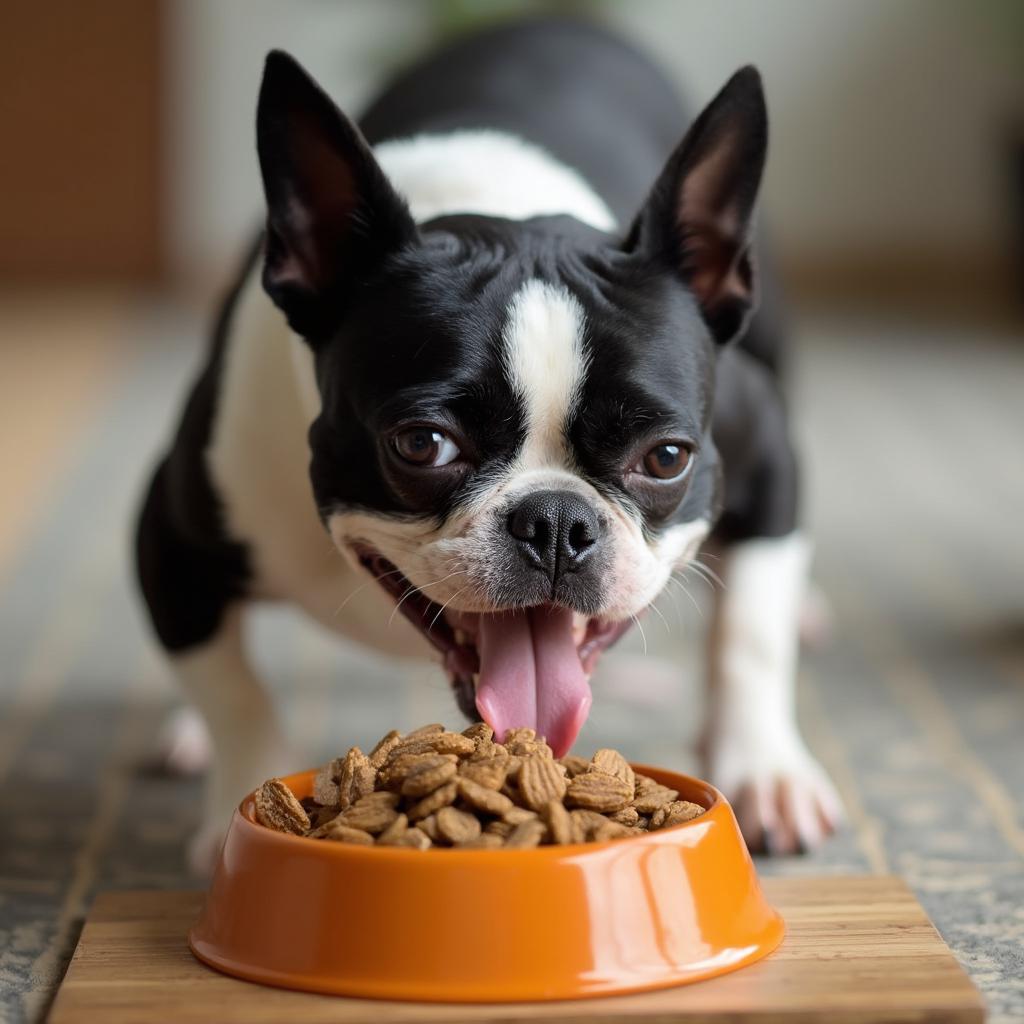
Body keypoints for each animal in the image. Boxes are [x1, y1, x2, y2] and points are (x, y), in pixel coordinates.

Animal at [136, 18, 839, 872]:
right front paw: (238, 809)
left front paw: (765, 770)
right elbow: (230, 686)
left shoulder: (764, 447)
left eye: (667, 457)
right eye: (422, 445)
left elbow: (751, 636)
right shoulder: (171, 531)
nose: (557, 522)